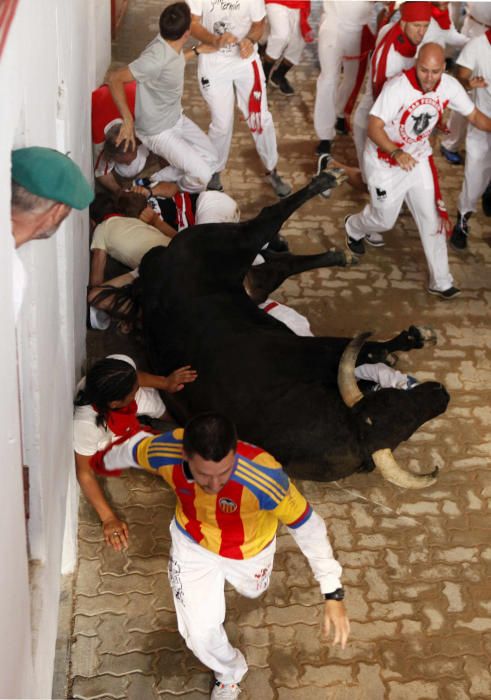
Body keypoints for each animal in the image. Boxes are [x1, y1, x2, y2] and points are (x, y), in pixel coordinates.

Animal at [137, 173, 450, 490]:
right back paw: (327, 181)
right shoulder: (316, 350)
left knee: (278, 265)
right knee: (267, 219)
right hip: (237, 243)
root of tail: (161, 259)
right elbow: (371, 348)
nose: (441, 393)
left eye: (408, 426)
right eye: (392, 401)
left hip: (253, 282)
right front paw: (414, 338)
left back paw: (339, 254)